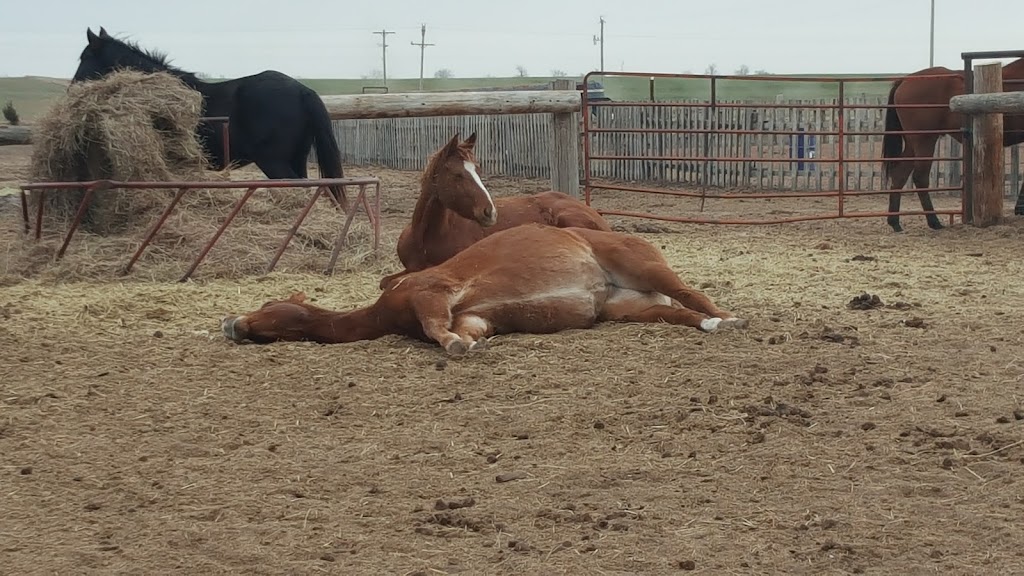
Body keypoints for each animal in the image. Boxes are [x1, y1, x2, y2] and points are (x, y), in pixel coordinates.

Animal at [224, 220, 749, 352]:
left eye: (268, 305)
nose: (232, 323)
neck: (388, 306)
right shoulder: (477, 318)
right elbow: (465, 331)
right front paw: (465, 345)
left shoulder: (433, 290)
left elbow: (437, 327)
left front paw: (453, 347)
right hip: (625, 306)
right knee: (680, 311)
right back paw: (712, 325)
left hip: (641, 267)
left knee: (694, 295)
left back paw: (730, 318)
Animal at [880, 56, 1024, 230]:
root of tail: (905, 80)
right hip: (925, 140)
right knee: (920, 177)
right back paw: (933, 221)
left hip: (912, 143)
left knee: (900, 174)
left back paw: (895, 222)